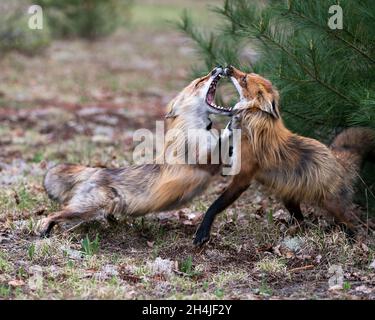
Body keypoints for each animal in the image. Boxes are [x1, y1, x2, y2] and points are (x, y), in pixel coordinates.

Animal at [39, 67, 232, 238]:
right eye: (200, 81)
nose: (217, 68)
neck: (196, 129)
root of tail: (98, 170)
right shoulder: (201, 159)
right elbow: (220, 143)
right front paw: (232, 126)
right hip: (86, 208)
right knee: (53, 215)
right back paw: (44, 229)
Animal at [194, 65, 375, 245]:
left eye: (244, 79)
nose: (228, 67)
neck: (251, 123)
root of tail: (336, 158)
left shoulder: (243, 177)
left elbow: (214, 206)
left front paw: (203, 231)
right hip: (289, 199)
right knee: (302, 220)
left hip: (332, 205)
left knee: (351, 223)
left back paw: (351, 239)